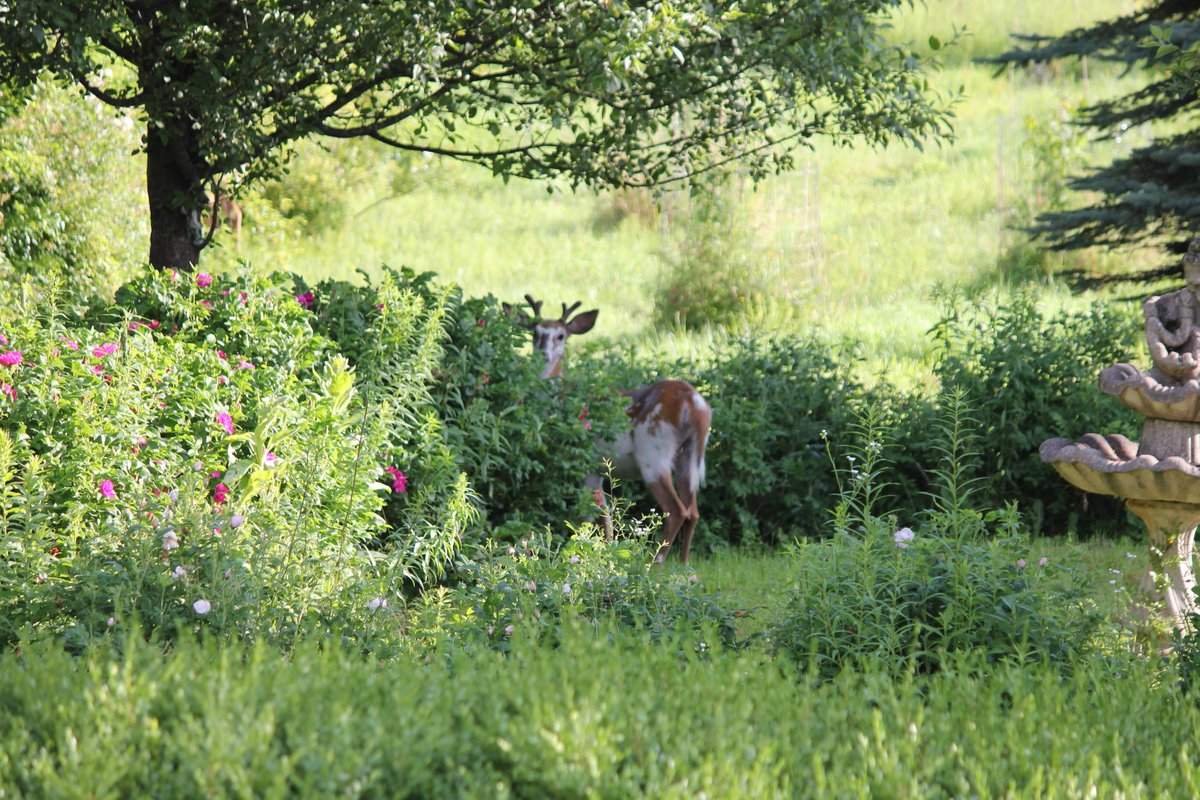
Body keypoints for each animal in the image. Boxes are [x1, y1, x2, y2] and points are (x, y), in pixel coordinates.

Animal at [503, 295, 712, 564]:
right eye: (534, 332)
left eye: (561, 335)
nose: (543, 354)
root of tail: (694, 404)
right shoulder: (599, 470)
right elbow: (607, 521)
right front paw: (608, 554)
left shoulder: (584, 465)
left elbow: (592, 517)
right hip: (690, 454)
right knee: (693, 511)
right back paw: (684, 565)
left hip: (653, 451)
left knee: (676, 509)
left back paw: (656, 563)